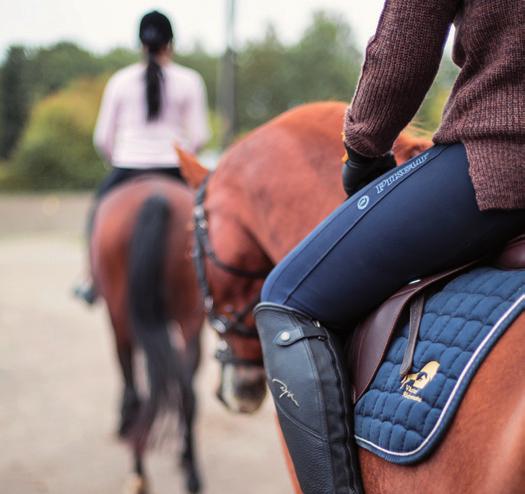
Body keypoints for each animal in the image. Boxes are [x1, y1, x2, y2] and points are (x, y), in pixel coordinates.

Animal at [89, 176, 204, 492]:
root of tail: (156, 196)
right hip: (190, 317)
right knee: (186, 390)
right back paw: (191, 470)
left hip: (123, 321)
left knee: (139, 397)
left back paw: (138, 472)